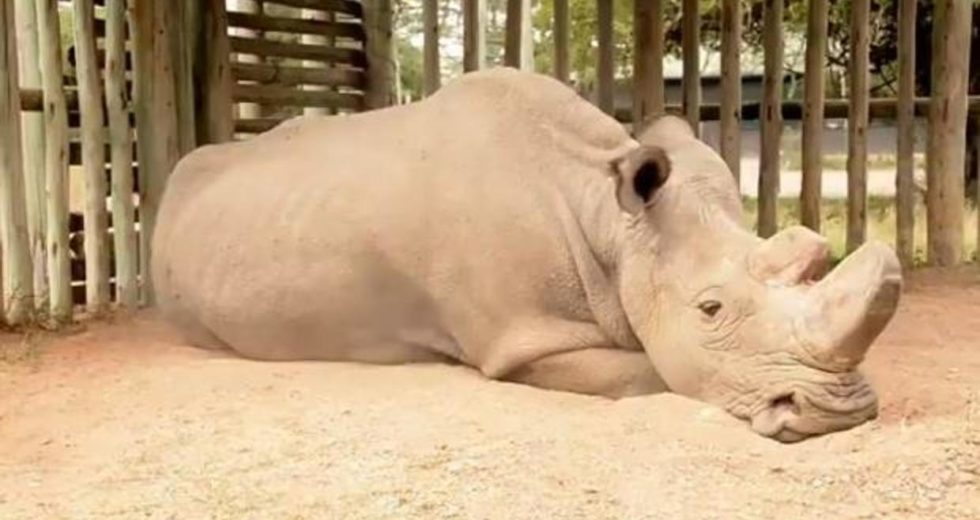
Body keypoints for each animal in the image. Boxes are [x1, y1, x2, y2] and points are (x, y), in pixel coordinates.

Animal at [152, 68, 902, 442]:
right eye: (710, 309)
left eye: (814, 253)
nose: (843, 413)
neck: (612, 219)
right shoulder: (525, 340)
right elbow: (654, 373)